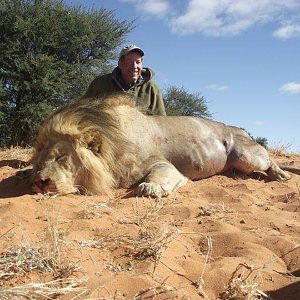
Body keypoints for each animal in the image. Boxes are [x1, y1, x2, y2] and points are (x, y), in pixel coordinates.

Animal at [31, 93, 294, 197]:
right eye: (41, 161)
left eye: (61, 158)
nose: (40, 182)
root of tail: (241, 129)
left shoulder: (162, 164)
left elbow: (154, 180)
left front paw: (150, 188)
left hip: (247, 155)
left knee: (268, 160)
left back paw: (282, 175)